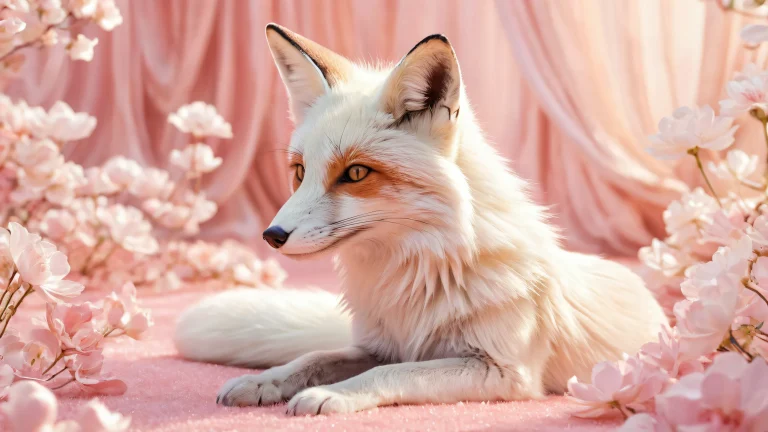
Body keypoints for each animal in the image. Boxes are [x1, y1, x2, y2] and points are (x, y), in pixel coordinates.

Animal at [173, 23, 668, 416]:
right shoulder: (377, 346)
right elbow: (312, 358)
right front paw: (264, 380)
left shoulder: (503, 371)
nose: (272, 235)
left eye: (355, 173)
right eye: (299, 172)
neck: (415, 277)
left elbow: (395, 374)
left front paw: (333, 395)